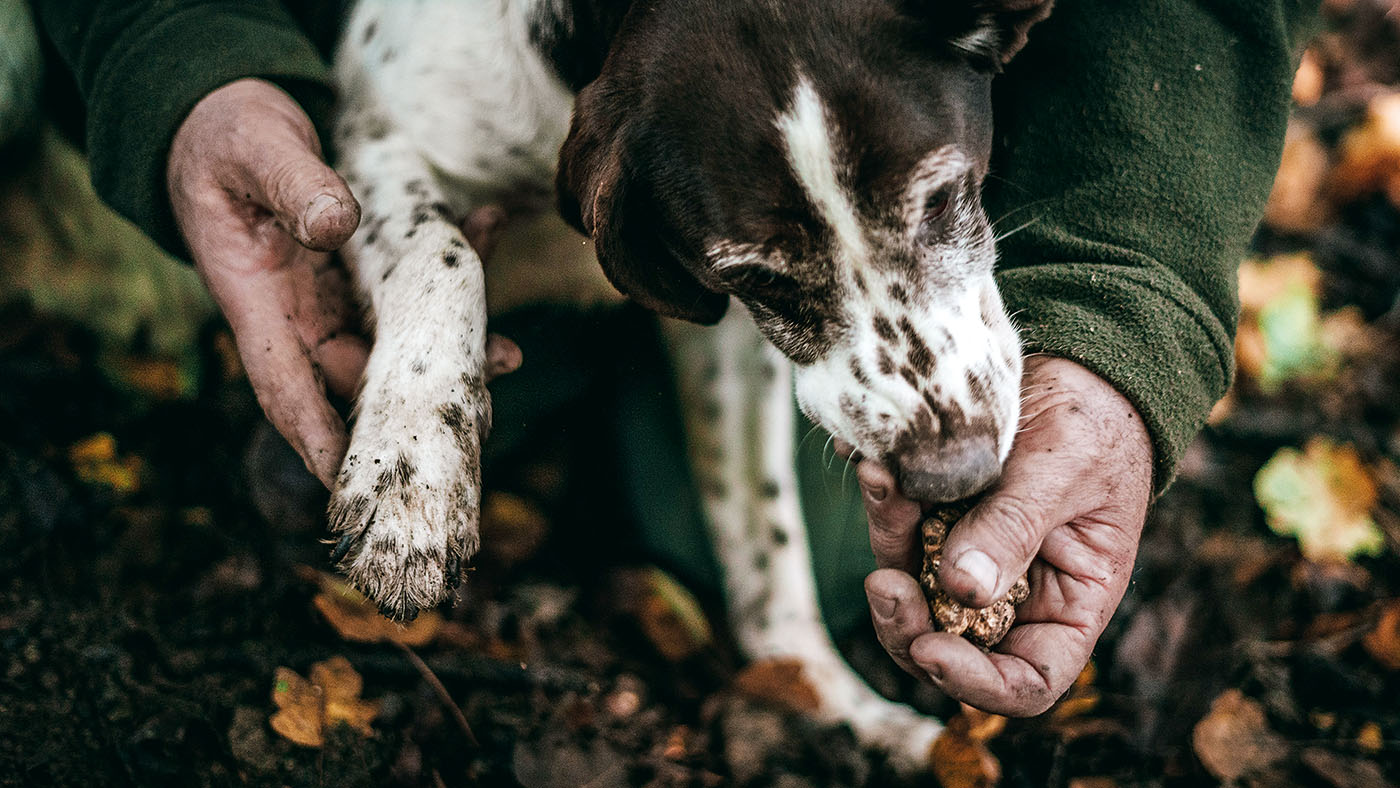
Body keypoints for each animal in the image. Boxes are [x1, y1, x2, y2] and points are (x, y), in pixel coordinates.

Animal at [330, 0, 1052, 767]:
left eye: (941, 199)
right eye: (758, 277)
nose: (955, 474)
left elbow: (766, 541)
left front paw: (830, 699)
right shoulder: (374, 142)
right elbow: (441, 252)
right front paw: (412, 478)